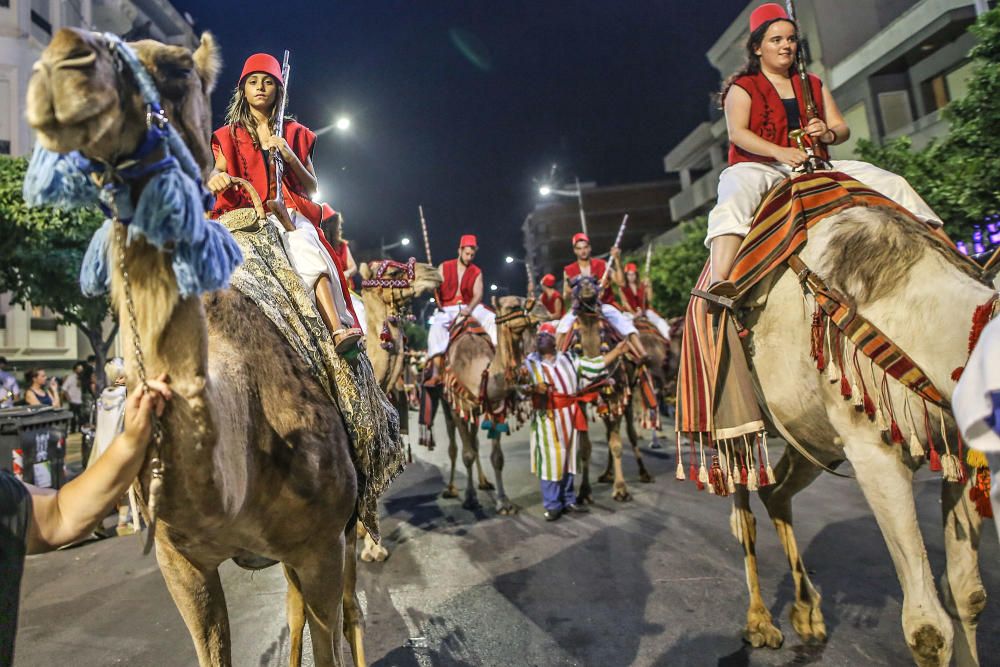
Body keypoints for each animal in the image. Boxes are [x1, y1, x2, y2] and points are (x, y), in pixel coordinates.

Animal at [28, 30, 378, 667]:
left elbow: (331, 635)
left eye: (174, 69)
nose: (64, 59)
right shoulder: (180, 562)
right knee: (294, 608)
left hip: (344, 526)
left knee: (348, 609)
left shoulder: (321, 542)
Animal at [572, 276, 656, 500]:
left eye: (593, 280)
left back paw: (644, 473)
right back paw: (606, 473)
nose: (587, 286)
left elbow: (617, 444)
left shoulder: (617, 394)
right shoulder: (582, 401)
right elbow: (586, 447)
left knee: (629, 433)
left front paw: (620, 489)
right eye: (575, 282)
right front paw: (583, 491)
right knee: (609, 431)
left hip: (628, 395)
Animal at [720, 205, 992, 667]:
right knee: (743, 515)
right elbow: (927, 629)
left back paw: (807, 612)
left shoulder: (960, 444)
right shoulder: (873, 452)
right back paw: (759, 623)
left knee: (776, 490)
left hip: (811, 437)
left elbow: (967, 595)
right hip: (731, 420)